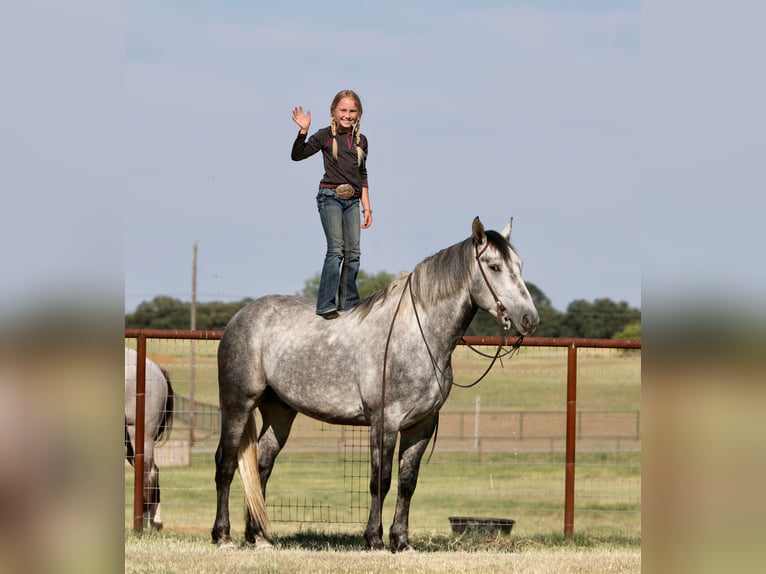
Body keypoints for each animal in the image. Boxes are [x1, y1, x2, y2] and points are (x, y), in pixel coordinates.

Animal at [210, 217, 540, 552]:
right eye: (494, 266)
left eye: (519, 265)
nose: (529, 319)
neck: (419, 335)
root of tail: (241, 316)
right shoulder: (385, 422)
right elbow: (380, 481)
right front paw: (375, 539)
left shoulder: (421, 426)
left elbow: (408, 482)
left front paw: (402, 541)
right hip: (237, 406)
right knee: (226, 464)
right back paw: (223, 536)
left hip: (280, 412)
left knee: (261, 466)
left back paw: (259, 537)